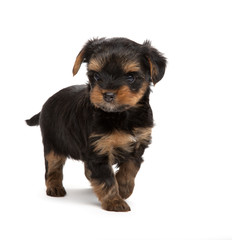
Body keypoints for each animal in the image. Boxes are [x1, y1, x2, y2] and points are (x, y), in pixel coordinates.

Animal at [25, 36, 167, 211]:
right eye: (97, 76)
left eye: (130, 77)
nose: (108, 95)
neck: (121, 114)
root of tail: (45, 104)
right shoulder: (98, 148)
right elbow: (106, 178)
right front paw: (115, 201)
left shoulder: (138, 144)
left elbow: (130, 169)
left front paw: (123, 189)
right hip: (53, 142)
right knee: (53, 165)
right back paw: (54, 187)